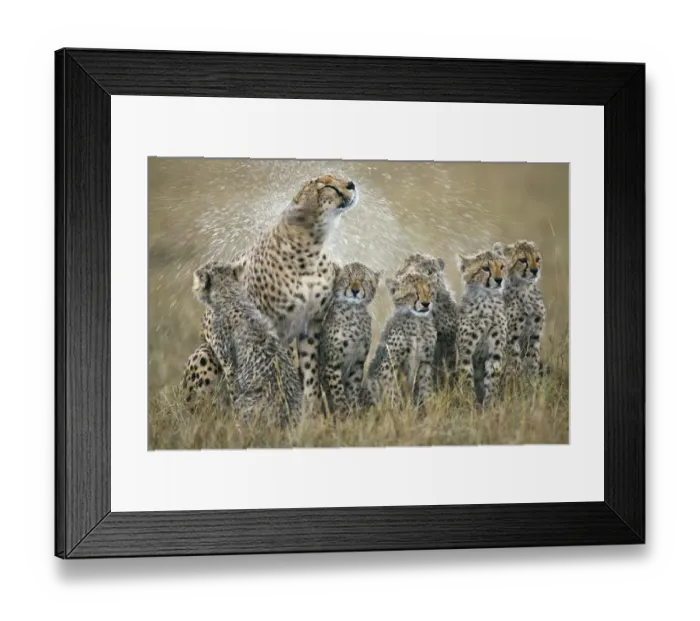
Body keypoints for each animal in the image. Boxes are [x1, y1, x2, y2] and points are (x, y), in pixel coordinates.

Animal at [318, 261, 381, 417]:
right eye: (348, 277)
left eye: (364, 280)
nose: (355, 290)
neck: (354, 312)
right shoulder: (333, 363)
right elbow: (338, 391)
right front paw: (343, 411)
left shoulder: (358, 362)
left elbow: (353, 389)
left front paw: (352, 412)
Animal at [365, 272, 437, 409]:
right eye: (413, 293)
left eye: (429, 291)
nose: (426, 303)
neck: (417, 321)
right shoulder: (389, 363)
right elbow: (392, 391)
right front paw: (398, 410)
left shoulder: (425, 362)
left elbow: (426, 388)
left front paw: (429, 409)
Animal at [455, 247, 508, 406]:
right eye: (485, 268)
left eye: (502, 267)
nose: (499, 280)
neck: (486, 299)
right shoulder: (466, 352)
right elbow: (466, 378)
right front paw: (469, 404)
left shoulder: (496, 352)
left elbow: (492, 380)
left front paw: (490, 405)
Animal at [498, 240, 547, 376]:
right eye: (523, 260)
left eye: (537, 259)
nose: (535, 270)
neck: (526, 289)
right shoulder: (511, 336)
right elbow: (515, 360)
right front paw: (518, 379)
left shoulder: (534, 335)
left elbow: (533, 360)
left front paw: (532, 380)